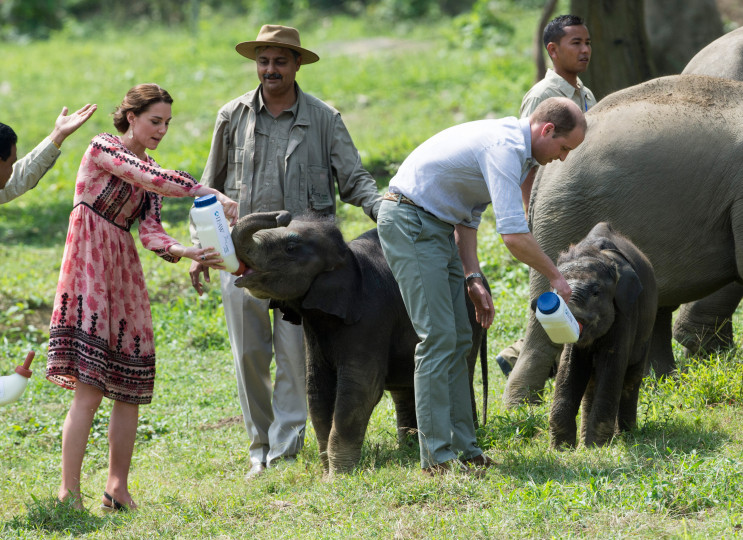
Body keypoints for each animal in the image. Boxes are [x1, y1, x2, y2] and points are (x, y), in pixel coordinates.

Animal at [548, 221, 660, 450]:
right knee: (591, 383)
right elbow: (570, 366)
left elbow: (611, 365)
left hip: (646, 328)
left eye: (596, 292)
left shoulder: (626, 309)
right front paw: (562, 449)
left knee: (630, 379)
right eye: (557, 291)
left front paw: (596, 448)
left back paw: (626, 435)